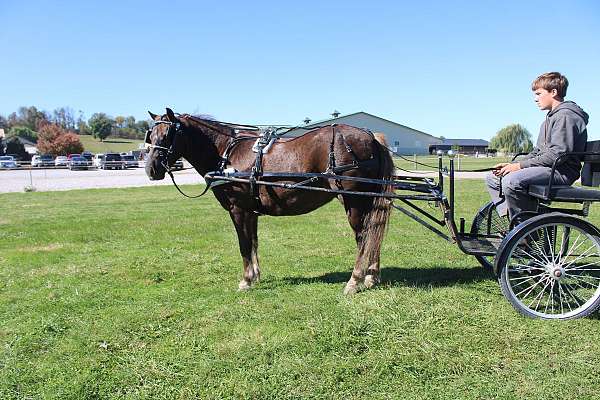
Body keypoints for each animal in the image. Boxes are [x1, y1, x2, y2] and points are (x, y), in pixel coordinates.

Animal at [146, 108, 394, 294]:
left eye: (168, 135)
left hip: (354, 202)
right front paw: (255, 276)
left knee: (363, 237)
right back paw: (371, 276)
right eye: (151, 135)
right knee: (374, 232)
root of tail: (372, 137)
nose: (151, 169)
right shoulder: (251, 211)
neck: (227, 154)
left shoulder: (238, 209)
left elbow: (244, 244)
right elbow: (254, 242)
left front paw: (246, 280)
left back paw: (355, 280)